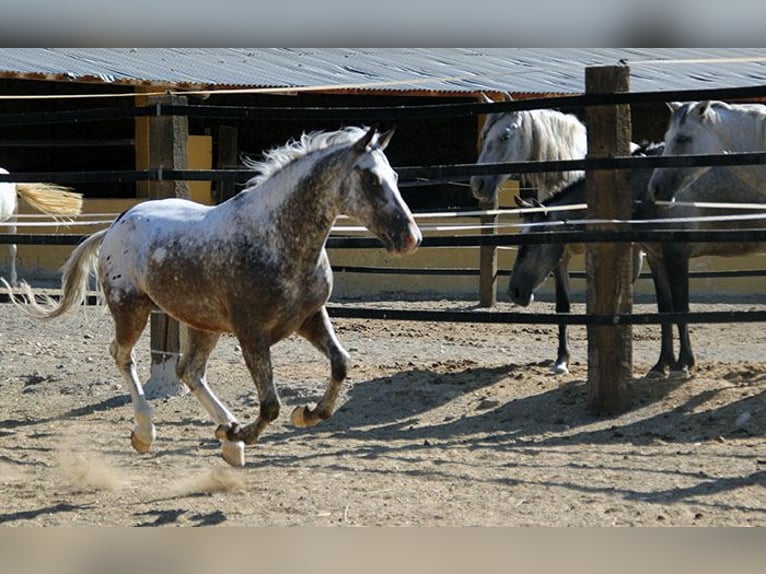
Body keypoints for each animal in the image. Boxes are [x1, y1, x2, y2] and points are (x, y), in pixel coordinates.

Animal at [6, 127, 424, 468]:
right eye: (370, 178)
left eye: (394, 176)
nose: (411, 238)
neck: (276, 239)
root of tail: (114, 226)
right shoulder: (251, 332)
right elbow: (270, 404)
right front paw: (247, 432)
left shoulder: (309, 318)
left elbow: (340, 364)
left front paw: (303, 414)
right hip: (131, 307)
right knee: (124, 356)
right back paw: (148, 433)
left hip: (201, 324)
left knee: (189, 371)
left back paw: (227, 438)